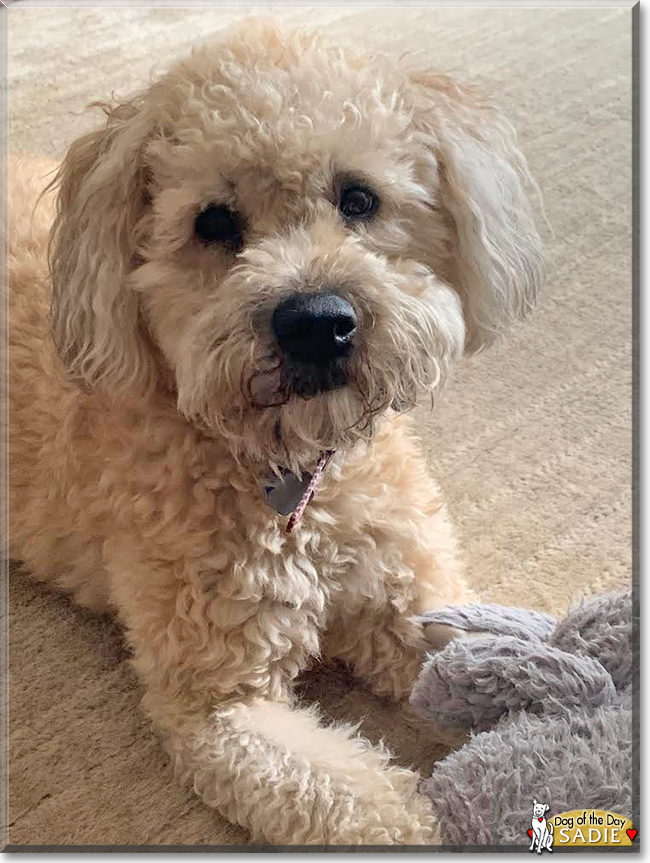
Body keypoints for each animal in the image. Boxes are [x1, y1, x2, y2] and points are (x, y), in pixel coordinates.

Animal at [6, 18, 540, 844]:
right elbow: (369, 805)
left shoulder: (412, 595)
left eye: (358, 198)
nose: (317, 323)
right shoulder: (220, 705)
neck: (297, 477)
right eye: (213, 222)